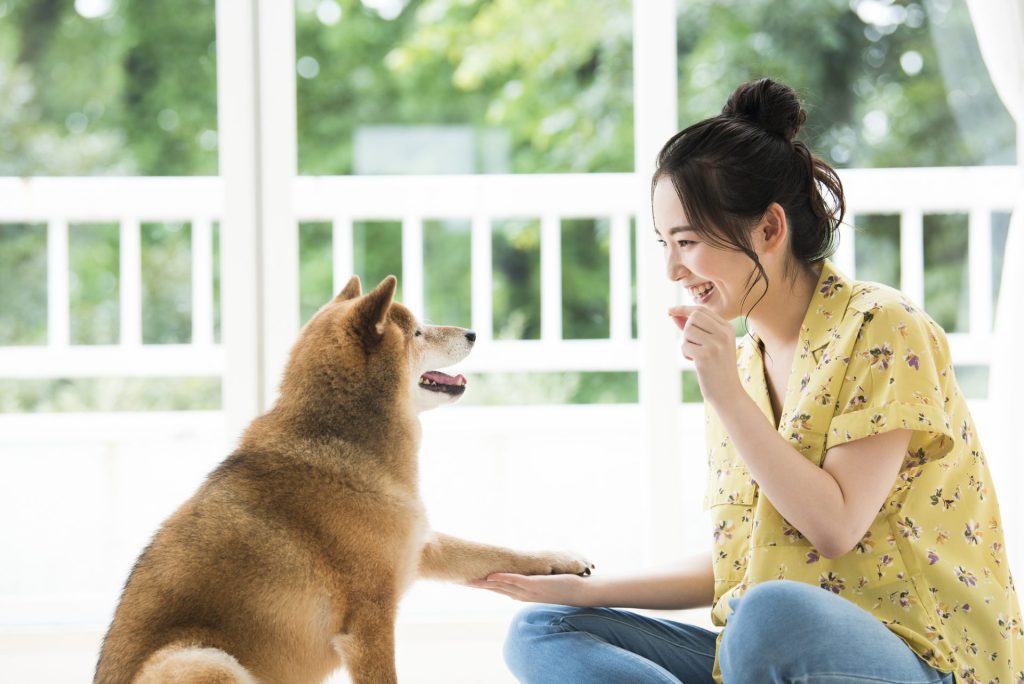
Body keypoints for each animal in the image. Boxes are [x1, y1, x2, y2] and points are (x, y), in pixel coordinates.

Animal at [97, 276, 593, 684]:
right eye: (417, 332)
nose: (472, 332)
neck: (345, 445)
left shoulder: (420, 547)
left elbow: (497, 551)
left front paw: (559, 561)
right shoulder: (370, 622)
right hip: (204, 660)